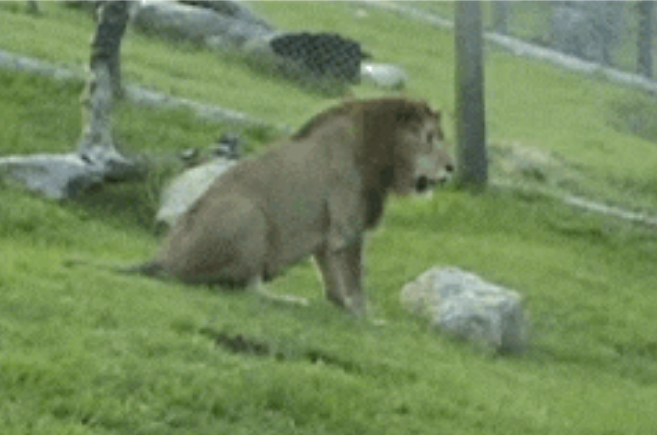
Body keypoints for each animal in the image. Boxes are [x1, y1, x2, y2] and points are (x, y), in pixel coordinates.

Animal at [121, 97, 452, 316]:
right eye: (429, 137)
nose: (451, 167)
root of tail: (163, 259)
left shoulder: (328, 238)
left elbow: (334, 280)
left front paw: (341, 306)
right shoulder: (347, 229)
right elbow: (356, 278)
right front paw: (367, 317)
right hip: (248, 214)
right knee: (249, 289)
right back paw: (287, 300)